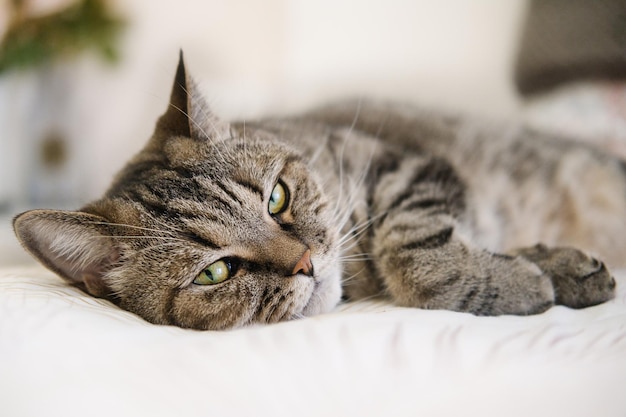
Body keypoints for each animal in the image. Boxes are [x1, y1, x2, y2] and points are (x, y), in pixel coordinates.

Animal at [12, 53, 616, 330]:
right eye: (215, 272)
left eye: (276, 198)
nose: (306, 262)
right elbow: (423, 260)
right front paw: (534, 277)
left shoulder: (405, 165)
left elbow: (411, 246)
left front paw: (547, 270)